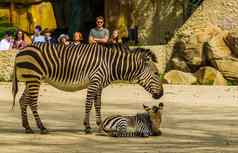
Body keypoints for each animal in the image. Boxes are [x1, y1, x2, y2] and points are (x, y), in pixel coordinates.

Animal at [11, 42, 164, 133]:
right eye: (156, 73)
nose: (161, 94)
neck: (110, 64)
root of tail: (20, 51)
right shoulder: (94, 81)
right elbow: (88, 104)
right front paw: (87, 126)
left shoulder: (99, 85)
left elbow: (98, 104)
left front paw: (100, 125)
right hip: (34, 78)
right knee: (32, 102)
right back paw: (41, 127)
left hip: (30, 80)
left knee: (23, 101)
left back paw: (27, 127)